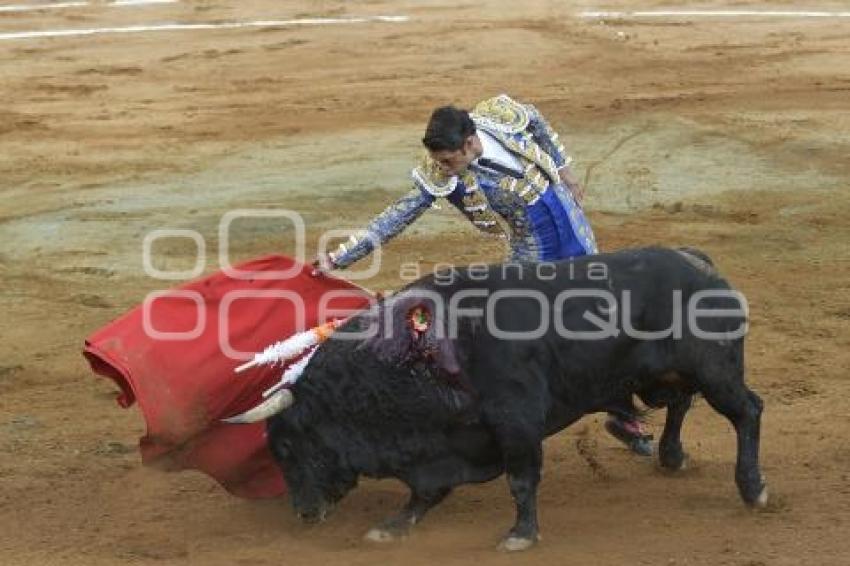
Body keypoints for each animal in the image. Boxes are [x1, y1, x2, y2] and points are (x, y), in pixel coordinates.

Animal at [264, 247, 760, 552]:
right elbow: (425, 491)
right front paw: (393, 527)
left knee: (747, 411)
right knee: (681, 403)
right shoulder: (442, 446)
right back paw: (672, 456)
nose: (303, 513)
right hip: (666, 375)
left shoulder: (516, 423)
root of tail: (697, 261)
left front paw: (521, 534)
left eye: (287, 448)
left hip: (715, 370)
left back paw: (753, 488)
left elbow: (520, 480)